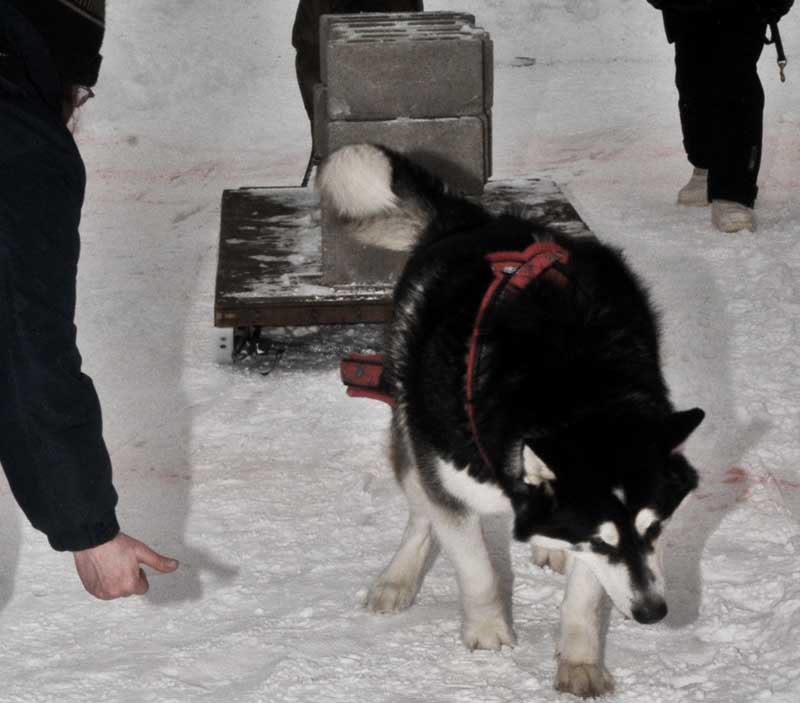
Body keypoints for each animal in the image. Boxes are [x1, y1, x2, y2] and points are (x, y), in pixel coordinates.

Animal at [316, 144, 704, 700]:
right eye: (601, 541)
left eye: (656, 529)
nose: (653, 613)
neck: (573, 393)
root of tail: (475, 219)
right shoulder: (451, 477)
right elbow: (474, 564)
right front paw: (487, 630)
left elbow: (585, 597)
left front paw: (580, 661)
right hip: (411, 421)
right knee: (420, 510)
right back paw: (399, 577)